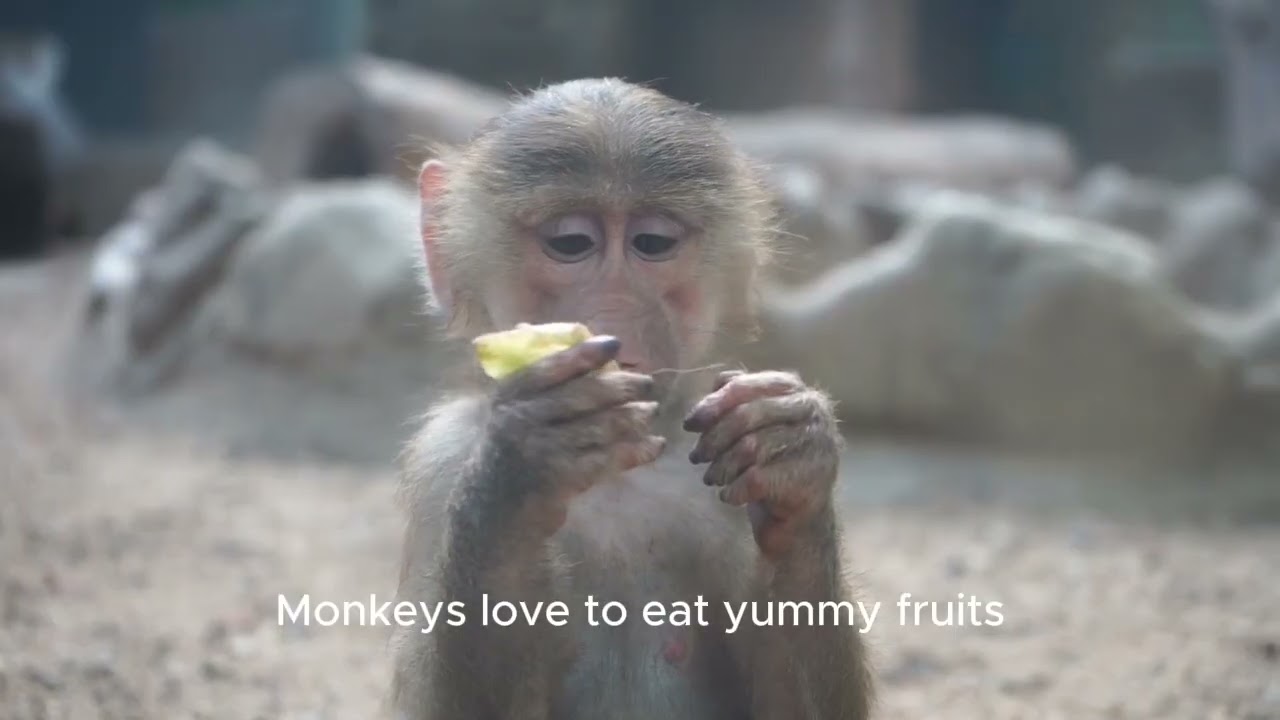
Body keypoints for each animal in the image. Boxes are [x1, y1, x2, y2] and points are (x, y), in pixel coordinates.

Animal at [390, 78, 873, 720]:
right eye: (571, 242)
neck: (623, 471)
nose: (614, 307)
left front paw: (795, 459)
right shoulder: (443, 457)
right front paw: (520, 465)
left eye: (652, 243)